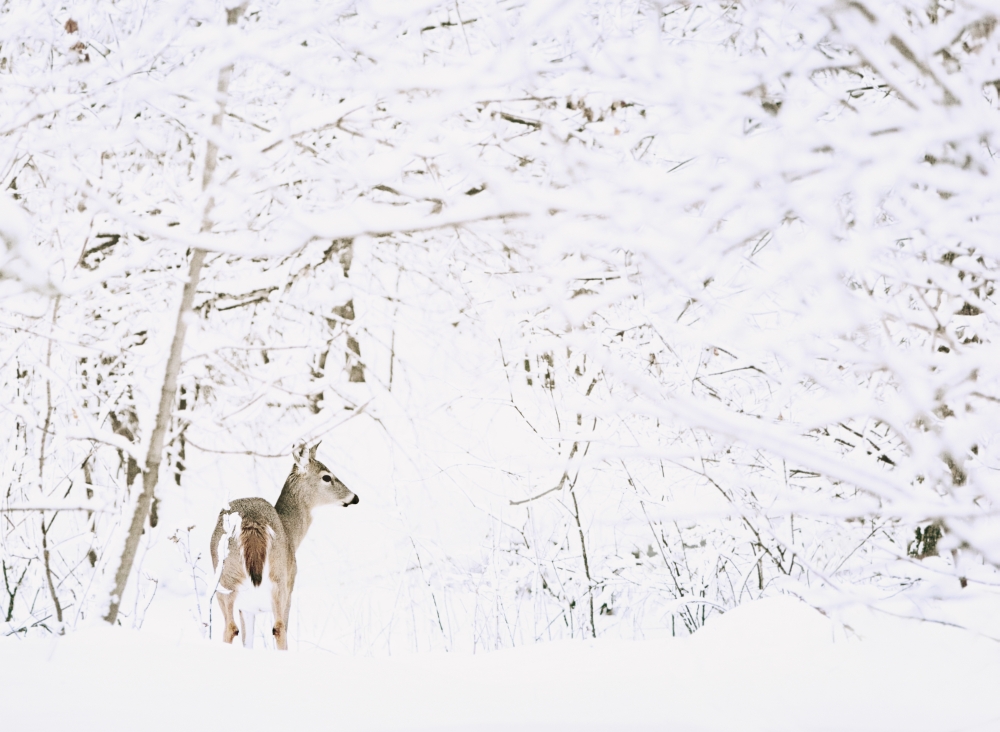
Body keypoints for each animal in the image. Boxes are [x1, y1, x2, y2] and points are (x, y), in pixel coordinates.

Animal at [209, 442, 359, 650]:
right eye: (327, 476)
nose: (354, 497)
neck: (290, 532)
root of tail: (252, 522)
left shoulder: (248, 607)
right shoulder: (290, 584)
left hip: (226, 581)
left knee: (231, 628)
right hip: (279, 582)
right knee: (279, 628)